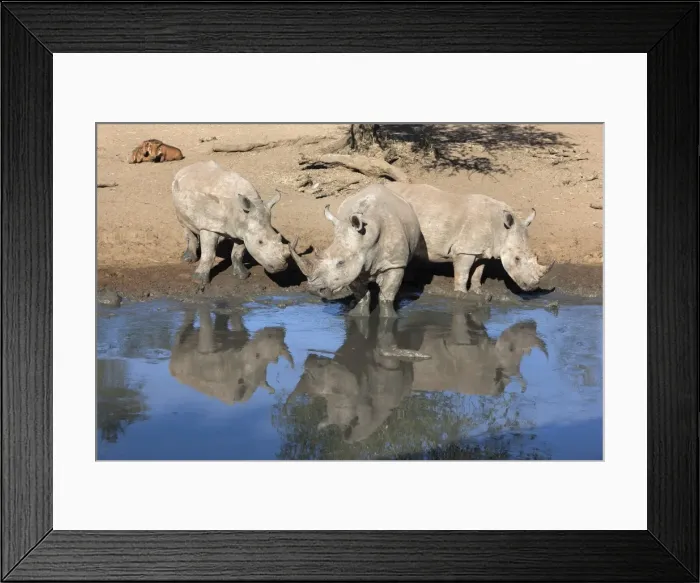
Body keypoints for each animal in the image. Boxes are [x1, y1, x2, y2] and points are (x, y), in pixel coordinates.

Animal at [289, 184, 424, 318]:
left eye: (341, 263)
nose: (313, 290)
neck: (366, 239)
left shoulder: (394, 264)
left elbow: (386, 297)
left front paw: (389, 316)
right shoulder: (352, 266)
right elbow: (361, 294)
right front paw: (357, 314)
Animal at [384, 182, 554, 294]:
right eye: (517, 259)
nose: (532, 287)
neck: (501, 230)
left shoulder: (483, 250)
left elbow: (478, 272)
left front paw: (477, 292)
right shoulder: (465, 250)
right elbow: (463, 274)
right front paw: (461, 293)